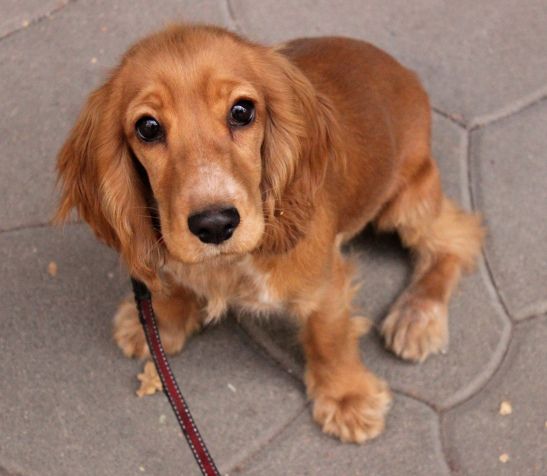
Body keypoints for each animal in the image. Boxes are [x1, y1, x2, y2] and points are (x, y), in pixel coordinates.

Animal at [55, 25, 484, 442]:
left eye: (242, 111)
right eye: (147, 127)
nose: (214, 224)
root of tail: (406, 74)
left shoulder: (323, 283)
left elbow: (329, 337)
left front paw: (346, 397)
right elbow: (177, 282)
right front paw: (159, 324)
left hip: (405, 199)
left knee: (458, 236)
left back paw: (417, 318)